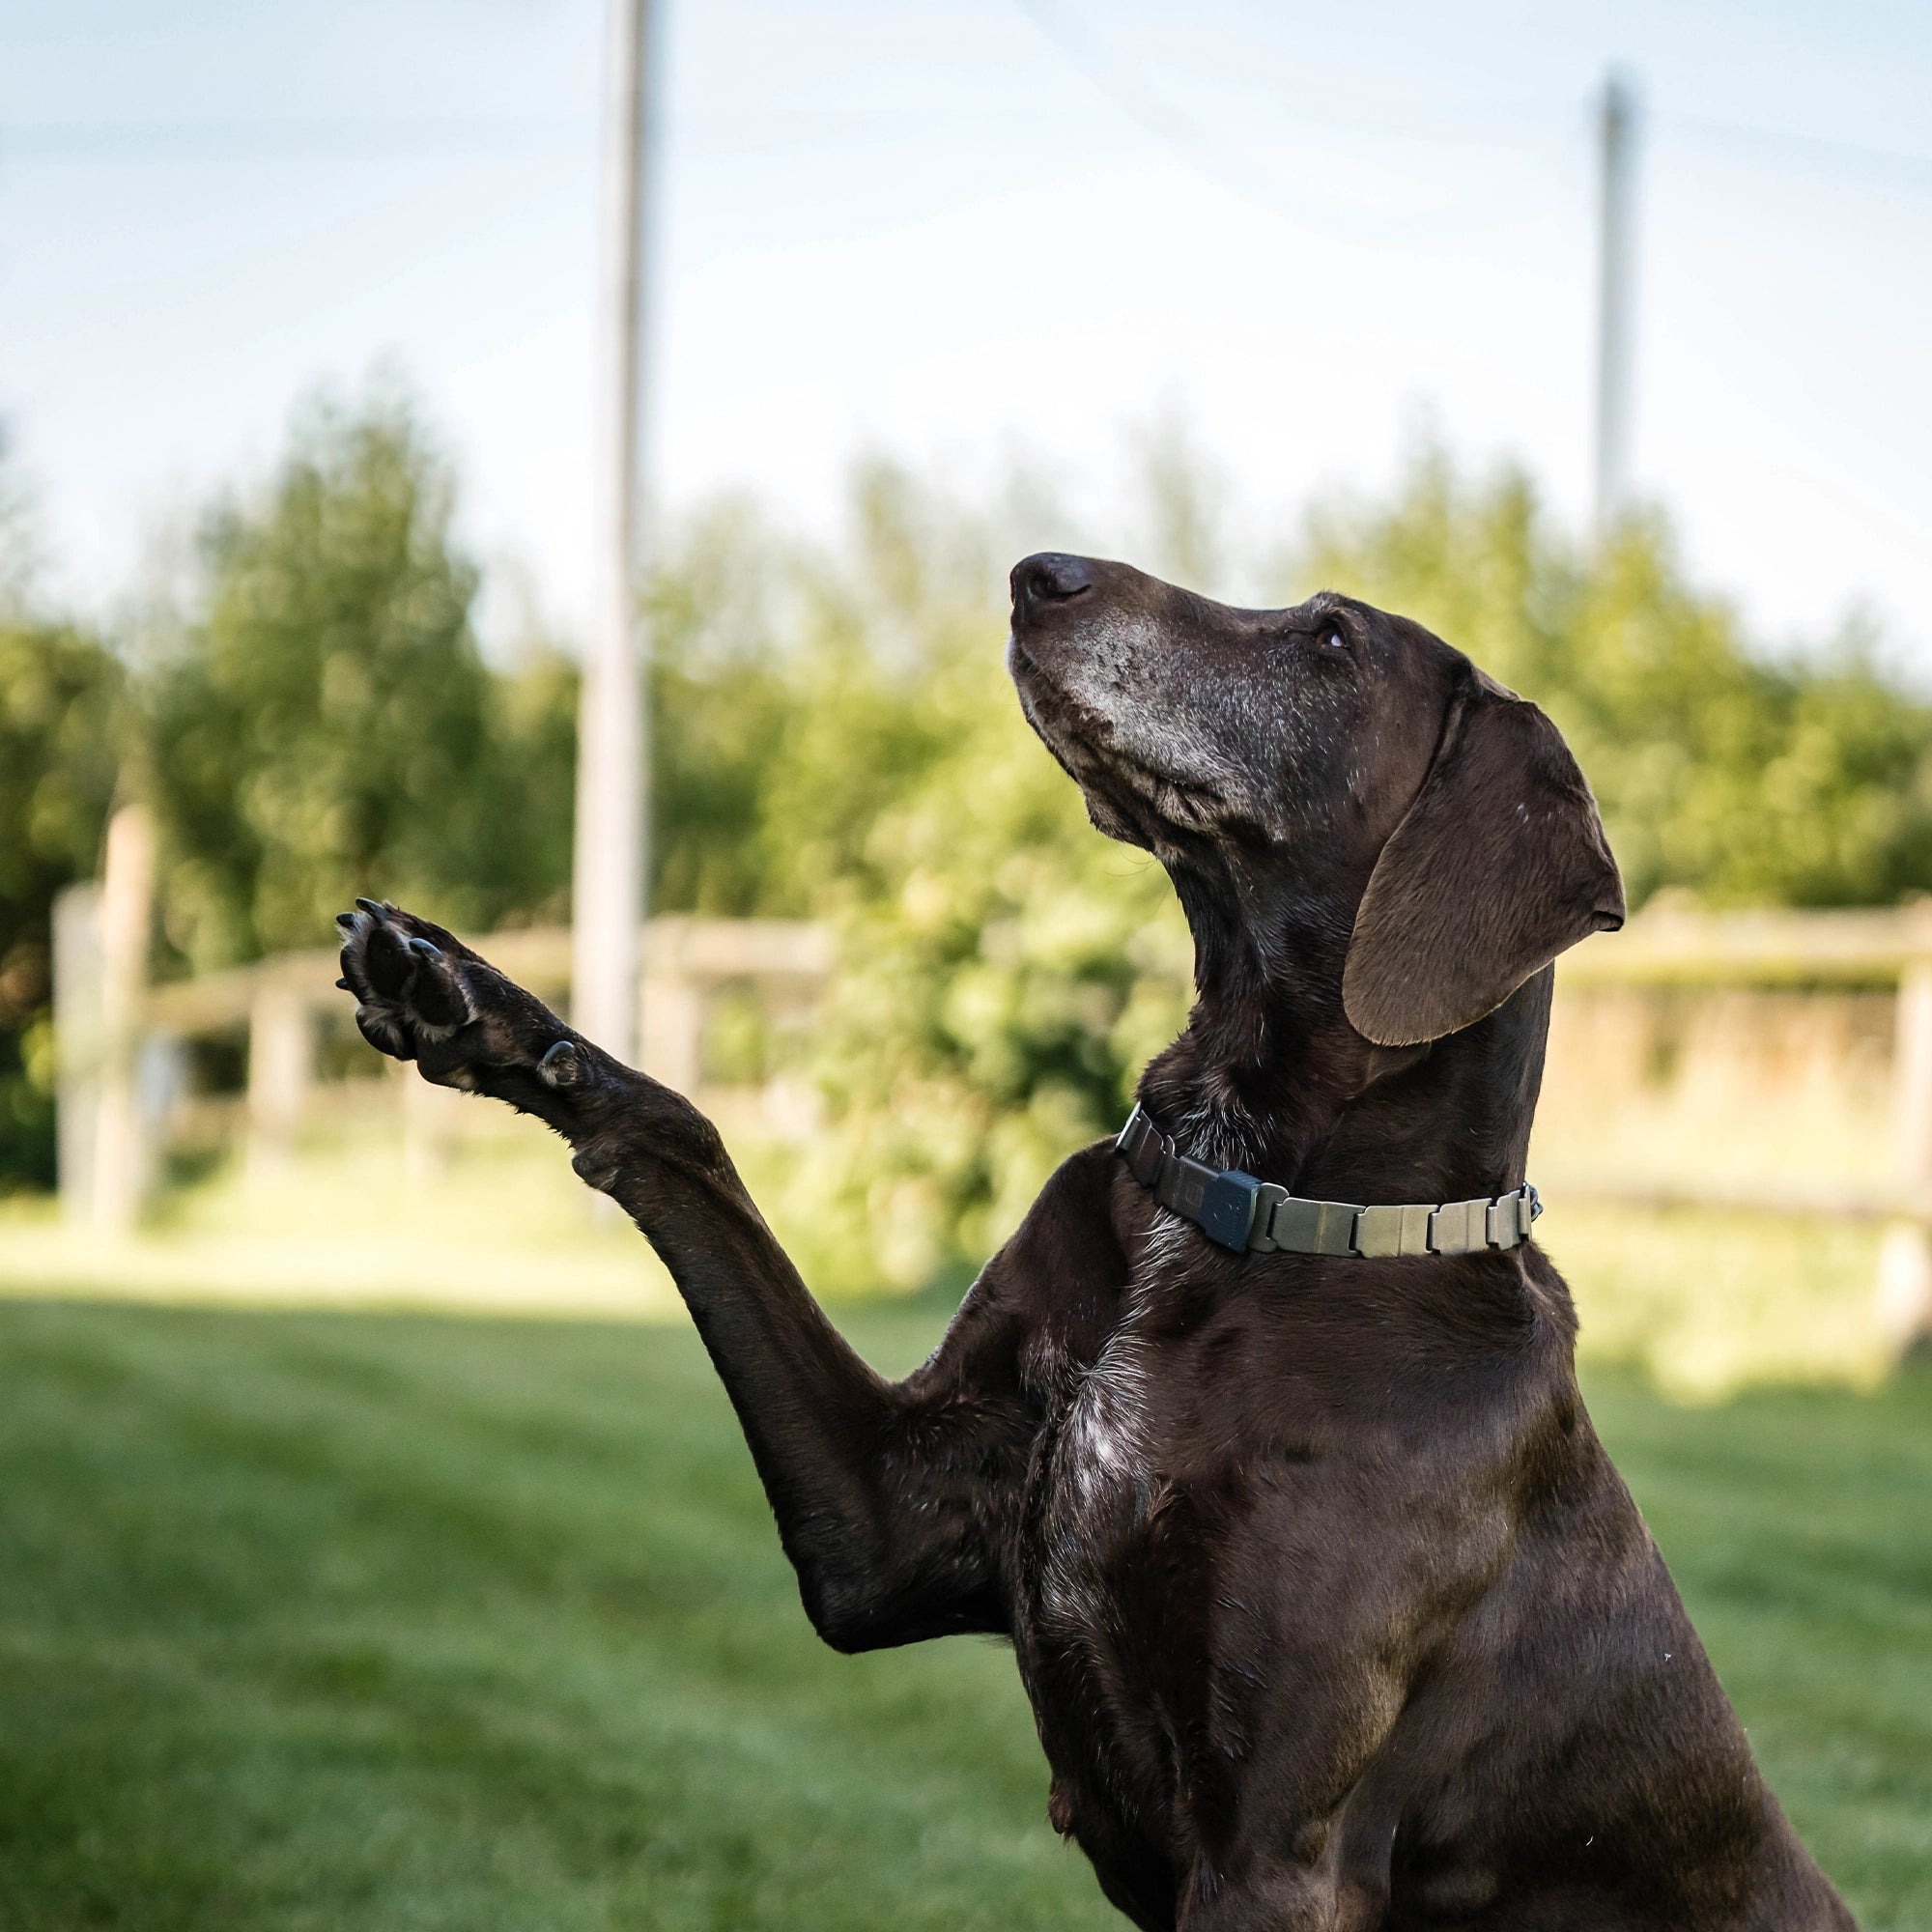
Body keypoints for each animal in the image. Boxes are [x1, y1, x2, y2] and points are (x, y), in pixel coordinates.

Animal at [336, 553, 1855, 1924]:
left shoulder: (1272, 1851)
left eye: (1329, 640)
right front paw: (478, 1008)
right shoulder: (882, 1523)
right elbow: (688, 1140)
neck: (1244, 1212)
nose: (1036, 571)